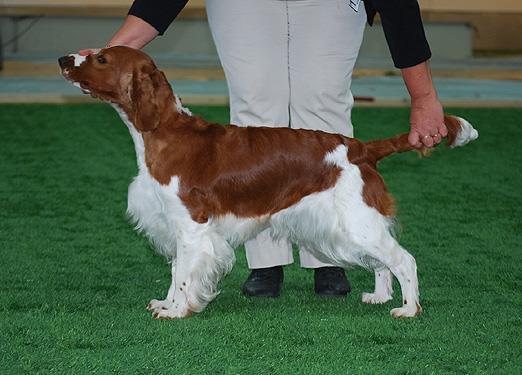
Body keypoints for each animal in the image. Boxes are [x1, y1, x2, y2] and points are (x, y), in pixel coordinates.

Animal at [57, 46, 476, 320]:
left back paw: (408, 308)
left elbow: (184, 276)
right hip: (351, 227)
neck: (162, 131)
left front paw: (176, 311)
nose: (63, 59)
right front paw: (166, 303)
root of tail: (362, 148)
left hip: (357, 221)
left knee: (404, 259)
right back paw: (379, 296)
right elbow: (177, 272)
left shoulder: (192, 227)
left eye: (101, 59)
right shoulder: (176, 226)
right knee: (382, 262)